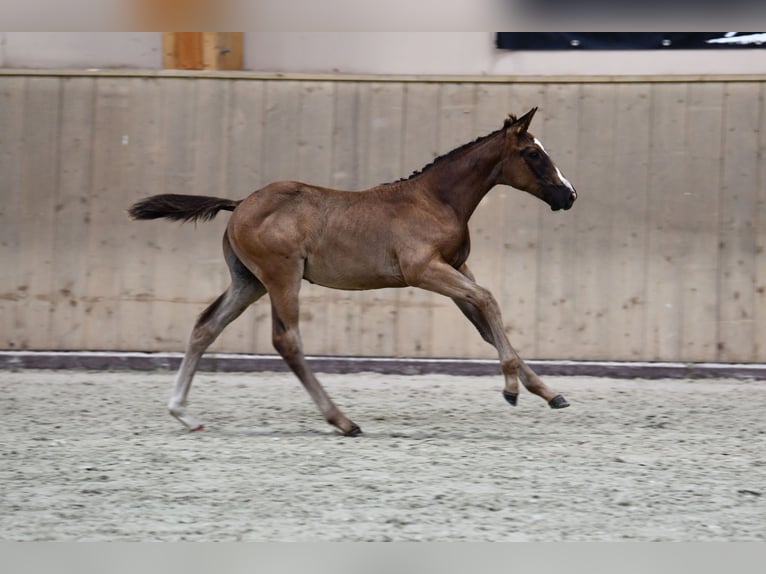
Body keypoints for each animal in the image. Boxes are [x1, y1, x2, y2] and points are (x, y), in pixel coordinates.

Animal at [130, 109, 576, 436]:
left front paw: (548, 392)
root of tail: (239, 204)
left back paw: (183, 413)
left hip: (249, 281)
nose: (568, 194)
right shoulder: (424, 270)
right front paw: (511, 388)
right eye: (533, 154)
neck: (436, 200)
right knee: (286, 339)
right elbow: (488, 299)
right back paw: (343, 421)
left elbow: (485, 323)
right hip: (281, 276)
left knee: (206, 326)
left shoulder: (454, 267)